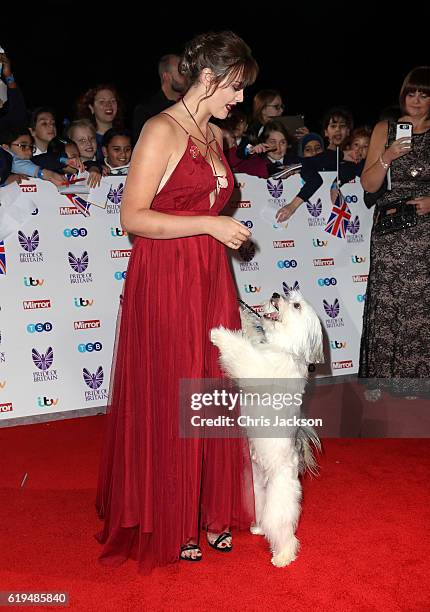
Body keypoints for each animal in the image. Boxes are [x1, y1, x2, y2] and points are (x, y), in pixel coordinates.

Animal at [210, 292, 324, 568]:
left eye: (296, 304)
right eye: (287, 292)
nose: (275, 295)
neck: (283, 349)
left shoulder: (259, 368)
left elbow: (242, 353)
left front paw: (219, 334)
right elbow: (249, 336)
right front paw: (243, 314)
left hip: (279, 499)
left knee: (284, 531)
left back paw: (283, 556)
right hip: (256, 490)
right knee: (262, 514)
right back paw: (258, 528)